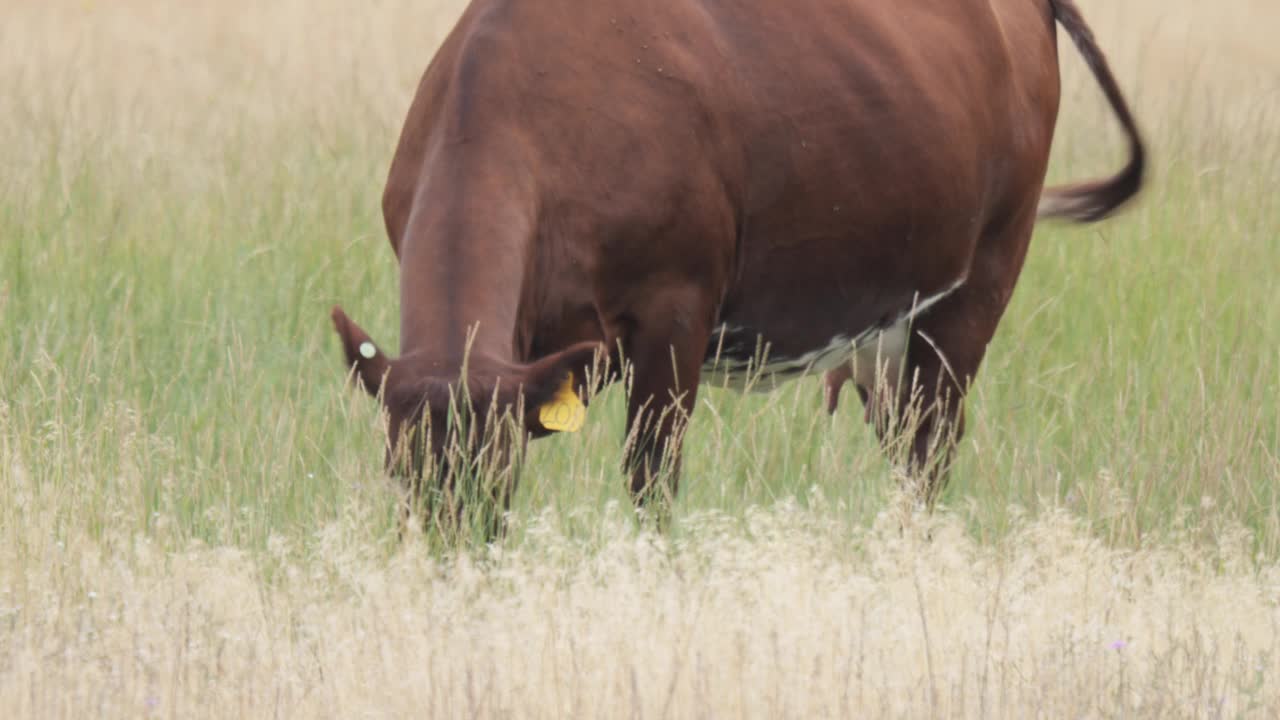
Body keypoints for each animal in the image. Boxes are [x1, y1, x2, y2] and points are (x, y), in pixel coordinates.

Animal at [327, 0, 1141, 527]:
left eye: (496, 474)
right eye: (398, 475)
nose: (453, 556)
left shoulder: (676, 309)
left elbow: (651, 480)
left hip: (983, 277)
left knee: (931, 451)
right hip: (885, 334)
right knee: (904, 443)